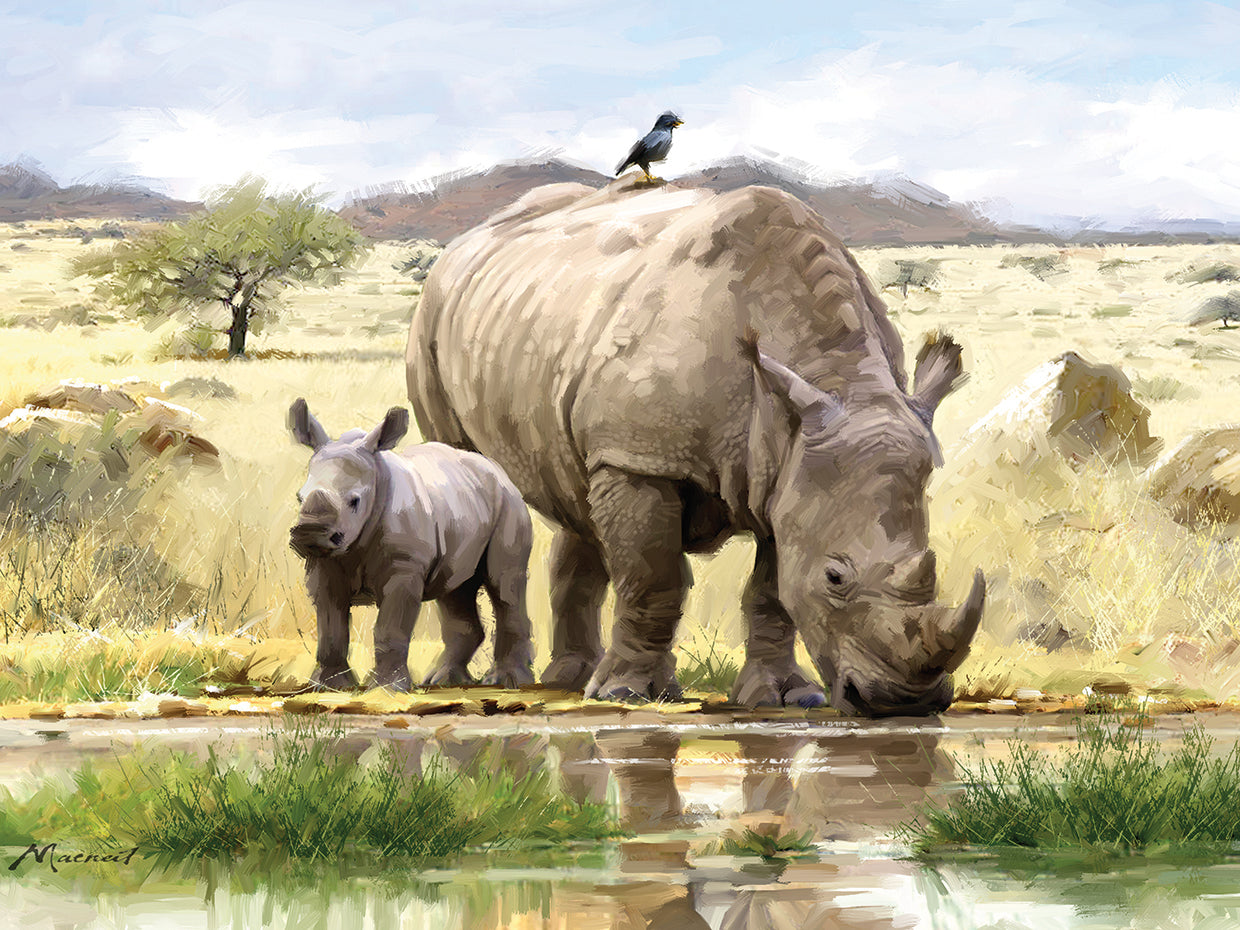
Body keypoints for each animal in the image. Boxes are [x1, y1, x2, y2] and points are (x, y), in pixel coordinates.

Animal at [287, 399, 534, 691]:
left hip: (509, 502)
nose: (310, 534)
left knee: (504, 583)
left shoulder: (404, 567)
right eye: (299, 497)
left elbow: (390, 629)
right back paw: (443, 680)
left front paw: (387, 688)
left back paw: (507, 681)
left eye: (355, 501)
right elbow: (331, 630)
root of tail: (498, 470)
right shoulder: (323, 566)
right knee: (455, 590)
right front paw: (327, 686)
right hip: (462, 504)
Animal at [406, 179, 985, 715]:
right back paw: (505, 682)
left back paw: (575, 678)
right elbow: (653, 578)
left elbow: (771, 591)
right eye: (835, 577)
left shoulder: (785, 471)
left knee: (578, 493)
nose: (903, 703)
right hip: (432, 317)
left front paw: (785, 698)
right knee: (469, 473)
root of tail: (470, 238)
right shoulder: (640, 456)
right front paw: (627, 694)